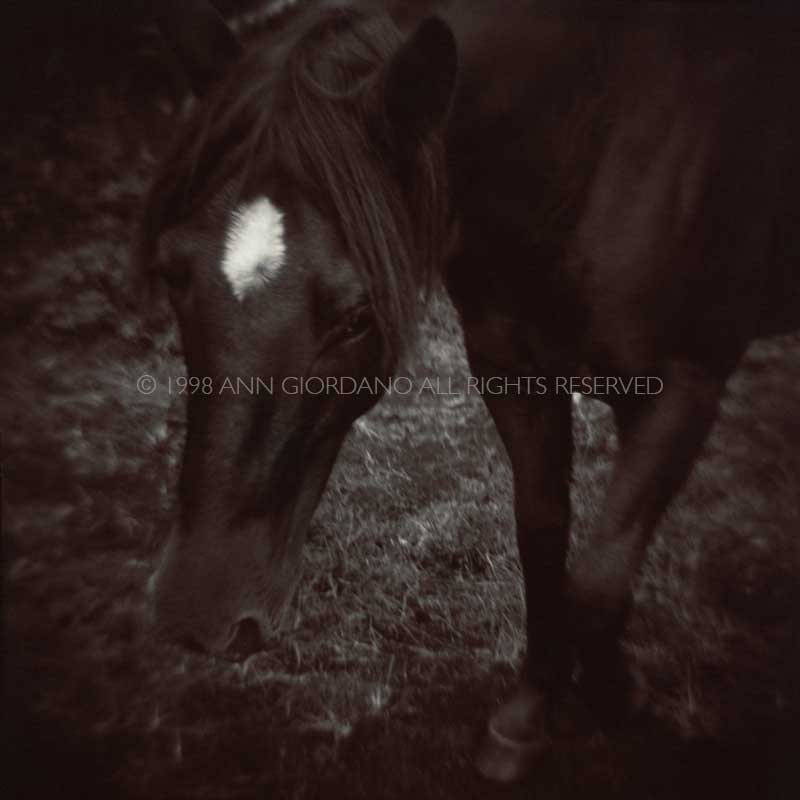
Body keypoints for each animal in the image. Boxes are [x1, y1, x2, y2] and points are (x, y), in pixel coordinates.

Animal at [144, 0, 800, 780]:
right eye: (174, 272)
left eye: (356, 316)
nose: (197, 611)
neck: (602, 135)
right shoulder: (512, 371)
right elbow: (543, 544)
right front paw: (531, 714)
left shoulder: (684, 390)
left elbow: (600, 583)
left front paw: (618, 697)